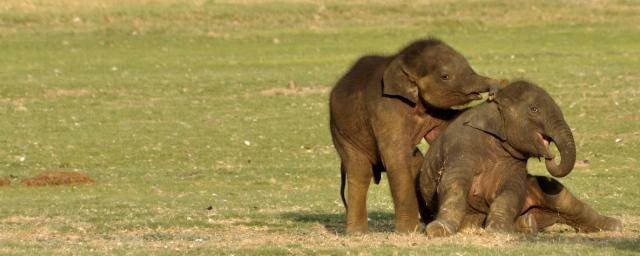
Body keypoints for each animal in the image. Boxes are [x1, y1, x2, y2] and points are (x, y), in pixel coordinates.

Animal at [330, 37, 504, 234]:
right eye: (445, 76)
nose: (492, 92)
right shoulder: (385, 109)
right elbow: (395, 160)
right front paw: (407, 231)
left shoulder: (433, 110)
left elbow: (444, 128)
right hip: (342, 133)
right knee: (360, 171)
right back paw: (357, 233)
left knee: (415, 162)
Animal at [418, 81, 624, 237]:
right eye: (534, 109)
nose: (551, 156)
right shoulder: (461, 147)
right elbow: (452, 184)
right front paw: (437, 230)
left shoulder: (515, 165)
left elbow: (512, 192)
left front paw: (498, 230)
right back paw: (527, 223)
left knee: (564, 199)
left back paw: (616, 225)